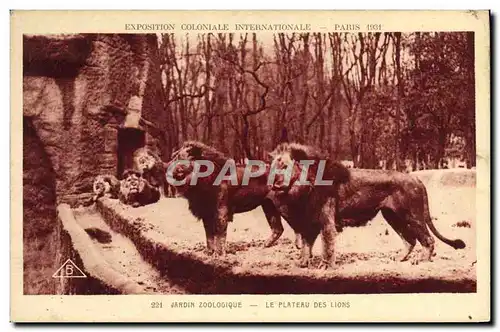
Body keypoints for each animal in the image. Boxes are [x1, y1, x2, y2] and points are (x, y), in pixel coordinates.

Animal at [268, 141, 466, 268]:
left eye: (284, 166)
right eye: (272, 167)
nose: (273, 183)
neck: (302, 188)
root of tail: (416, 178)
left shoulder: (326, 221)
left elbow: (327, 246)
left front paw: (325, 266)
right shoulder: (309, 221)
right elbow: (306, 245)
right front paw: (302, 263)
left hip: (412, 216)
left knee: (428, 240)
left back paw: (422, 261)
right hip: (393, 217)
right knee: (410, 240)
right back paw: (399, 258)